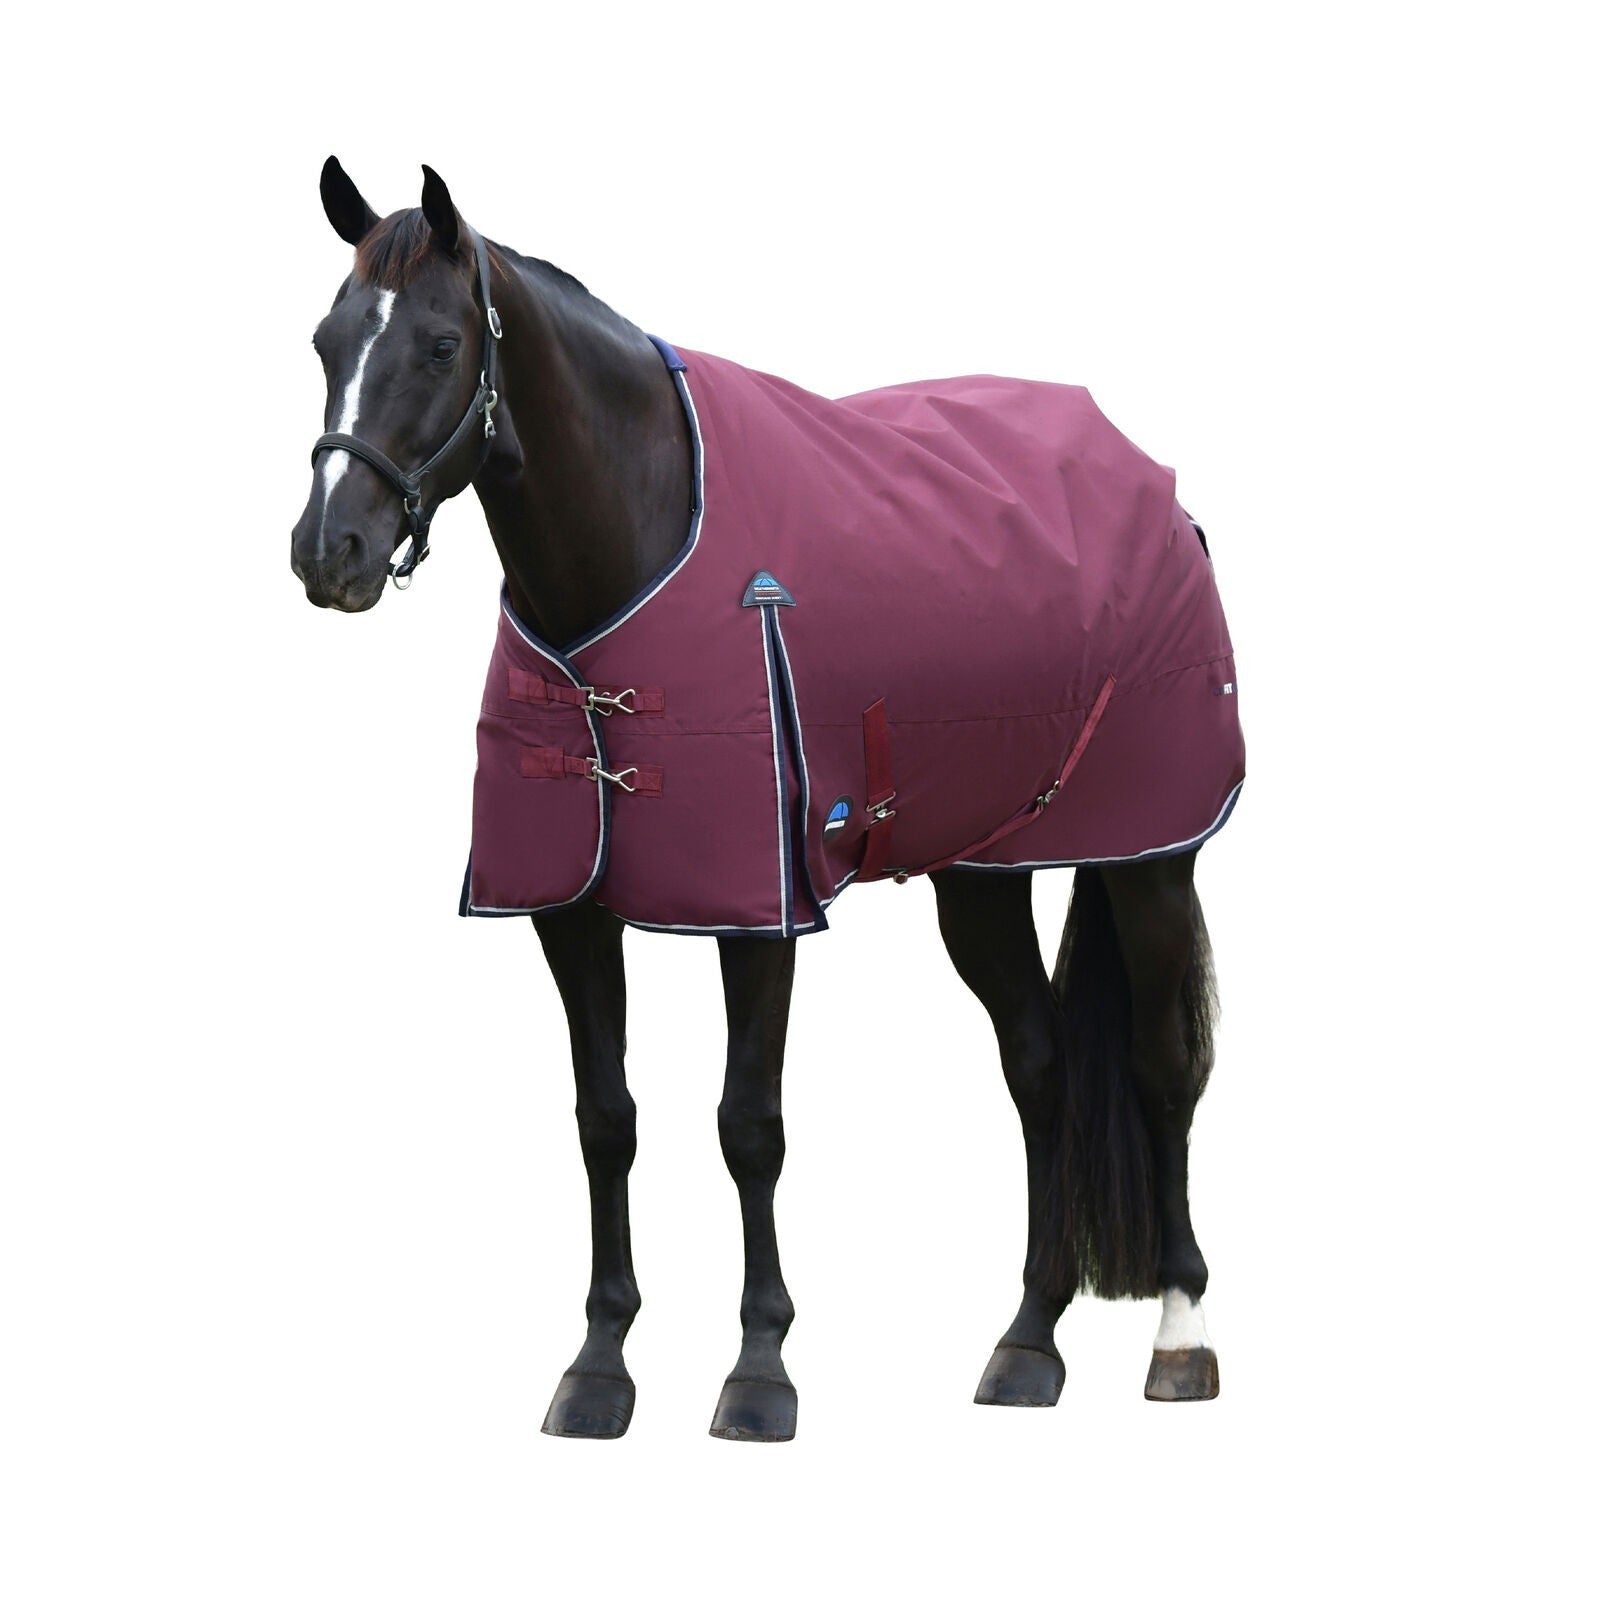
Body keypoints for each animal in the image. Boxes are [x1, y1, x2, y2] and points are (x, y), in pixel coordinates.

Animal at [289, 158, 1239, 1441]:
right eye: (326, 339)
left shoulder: (760, 906)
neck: (636, 545)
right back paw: (1026, 1342)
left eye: (441, 344)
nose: (327, 551)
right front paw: (599, 1366)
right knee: (1038, 1064)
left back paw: (1180, 1333)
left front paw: (758, 1370)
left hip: (1148, 858)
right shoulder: (568, 911)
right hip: (982, 876)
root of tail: (1154, 488)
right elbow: (605, 1119)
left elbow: (750, 1124)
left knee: (1158, 1064)